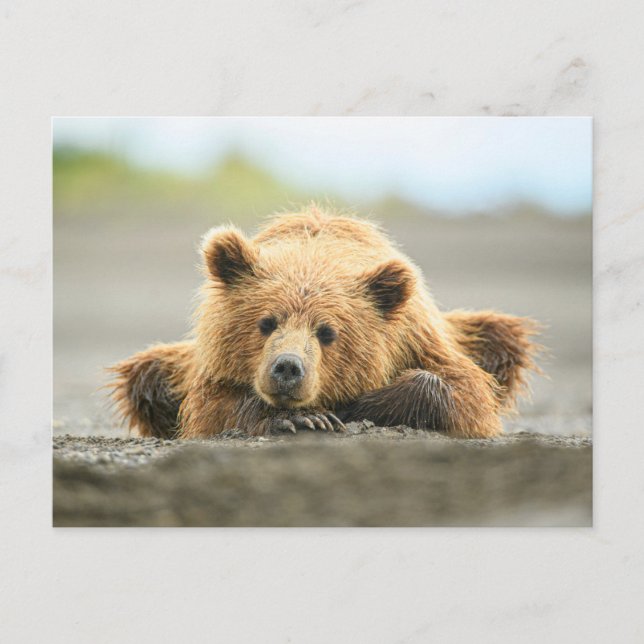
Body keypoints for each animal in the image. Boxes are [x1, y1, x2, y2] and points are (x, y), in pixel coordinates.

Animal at [109, 205, 540, 439]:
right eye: (266, 322)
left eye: (328, 332)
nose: (287, 367)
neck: (315, 253)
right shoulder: (210, 366)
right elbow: (210, 408)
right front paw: (304, 418)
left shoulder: (419, 337)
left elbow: (464, 392)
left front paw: (355, 406)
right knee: (146, 375)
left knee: (503, 338)